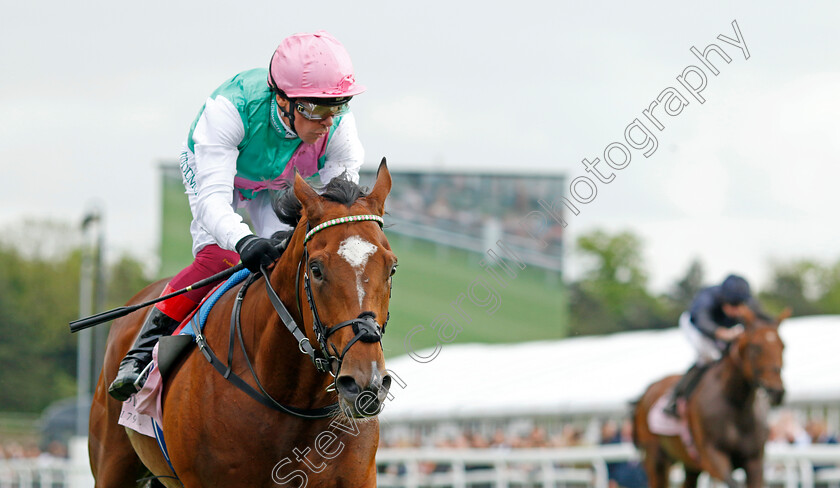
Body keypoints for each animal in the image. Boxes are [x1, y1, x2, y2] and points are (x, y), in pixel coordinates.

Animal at [632, 308, 792, 488]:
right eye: (755, 346)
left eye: (783, 346)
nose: (776, 391)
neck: (737, 404)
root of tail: (648, 390)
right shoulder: (712, 456)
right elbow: (733, 483)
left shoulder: (754, 460)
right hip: (656, 458)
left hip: (689, 464)